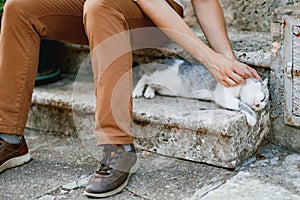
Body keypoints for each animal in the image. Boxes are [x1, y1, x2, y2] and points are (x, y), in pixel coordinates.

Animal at [132, 58, 268, 126]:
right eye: (263, 98)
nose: (259, 106)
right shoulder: (223, 95)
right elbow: (243, 105)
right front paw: (252, 118)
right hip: (160, 78)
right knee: (145, 77)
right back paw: (137, 91)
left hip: (166, 89)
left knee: (151, 84)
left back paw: (149, 93)